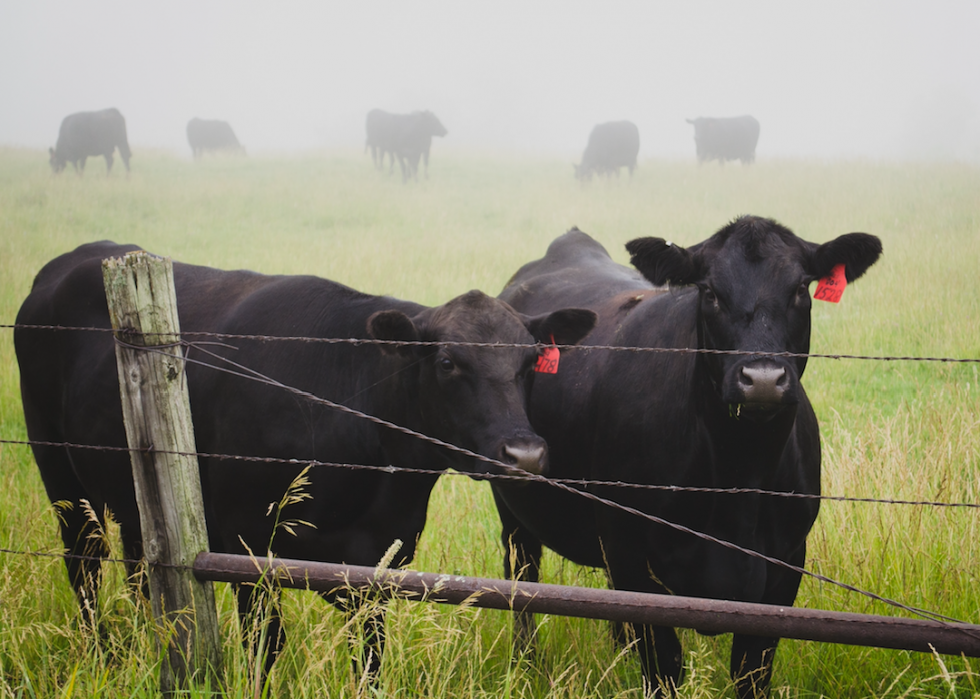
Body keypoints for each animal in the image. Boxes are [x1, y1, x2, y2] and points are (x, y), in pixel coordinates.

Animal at [15, 242, 592, 684]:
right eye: (449, 362)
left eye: (529, 362)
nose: (524, 454)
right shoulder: (246, 547)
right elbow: (266, 645)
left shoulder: (380, 564)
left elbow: (370, 658)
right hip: (60, 476)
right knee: (85, 566)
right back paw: (103, 657)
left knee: (140, 569)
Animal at [494, 217, 884, 696]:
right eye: (710, 292)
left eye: (799, 288)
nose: (763, 379)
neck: (740, 478)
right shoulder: (631, 557)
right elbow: (663, 666)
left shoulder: (787, 564)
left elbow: (751, 670)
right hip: (515, 508)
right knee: (522, 581)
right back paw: (525, 665)